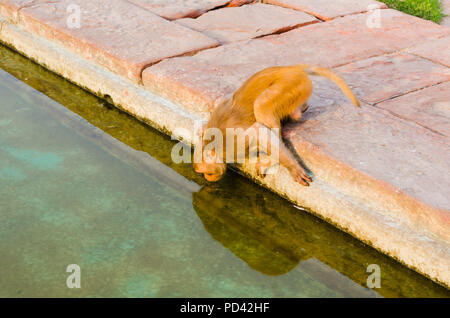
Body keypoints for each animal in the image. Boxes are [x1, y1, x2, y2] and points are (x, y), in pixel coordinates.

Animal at [192, 63, 358, 185]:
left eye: (206, 172)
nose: (207, 178)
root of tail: (292, 68)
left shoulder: (234, 146)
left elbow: (260, 131)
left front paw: (291, 167)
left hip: (290, 85)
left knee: (261, 105)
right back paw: (300, 109)